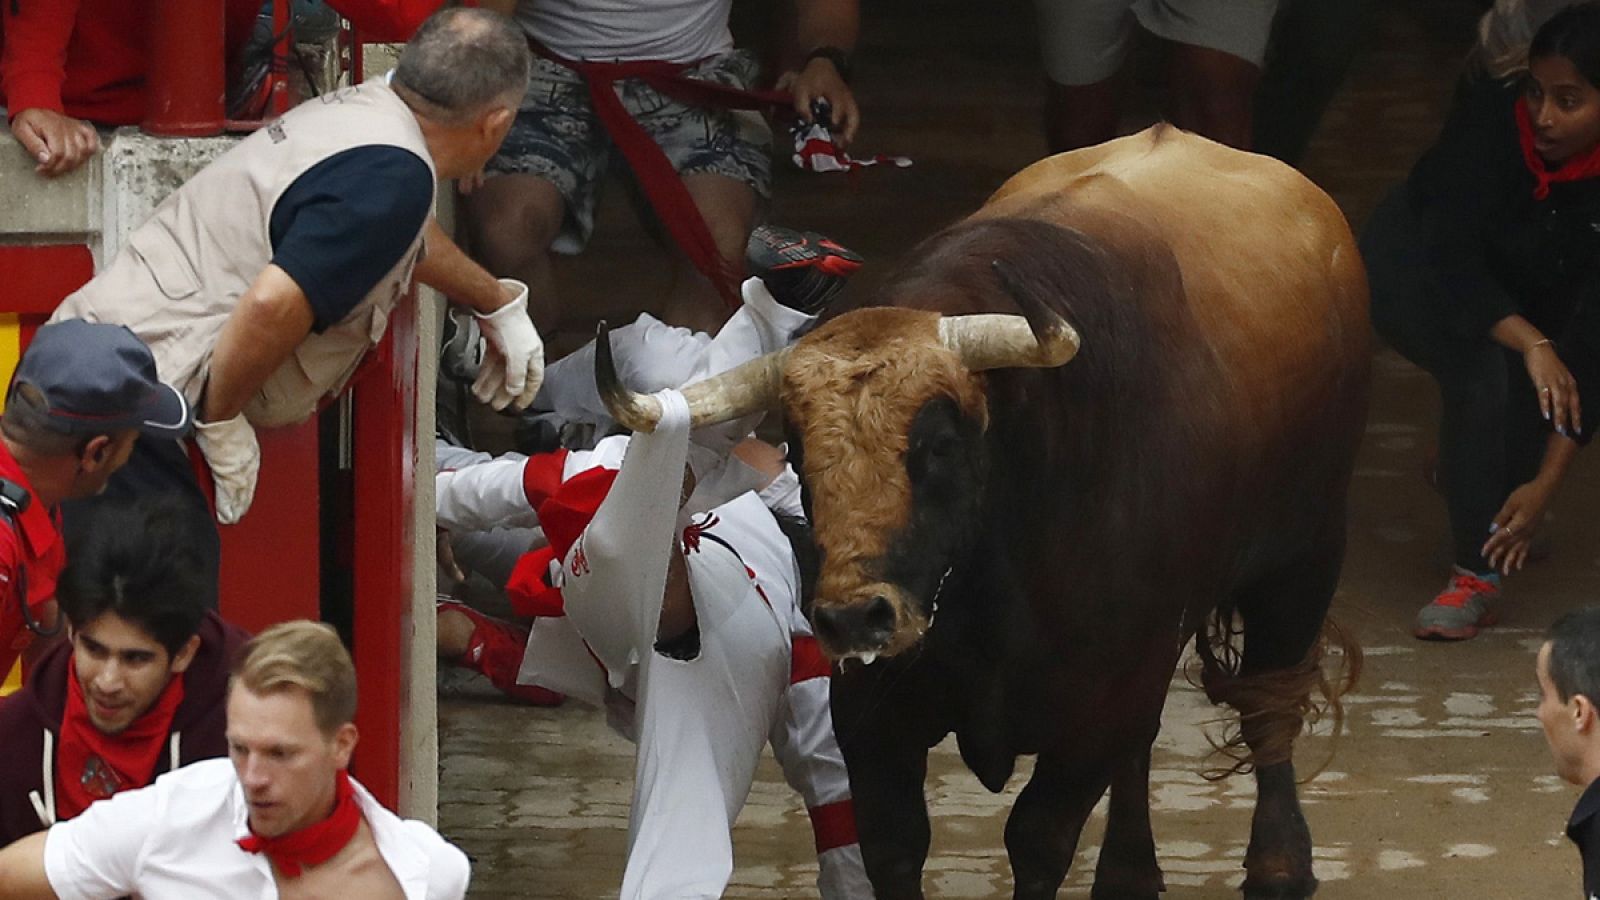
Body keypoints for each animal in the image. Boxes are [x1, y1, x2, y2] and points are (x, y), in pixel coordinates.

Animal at [595, 128, 1369, 896]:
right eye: (799, 449)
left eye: (939, 446)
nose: (853, 618)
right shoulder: (873, 719)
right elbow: (895, 846)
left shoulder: (1096, 707)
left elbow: (1037, 839)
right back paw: (1129, 872)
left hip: (1306, 557)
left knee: (1268, 705)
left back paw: (1279, 864)